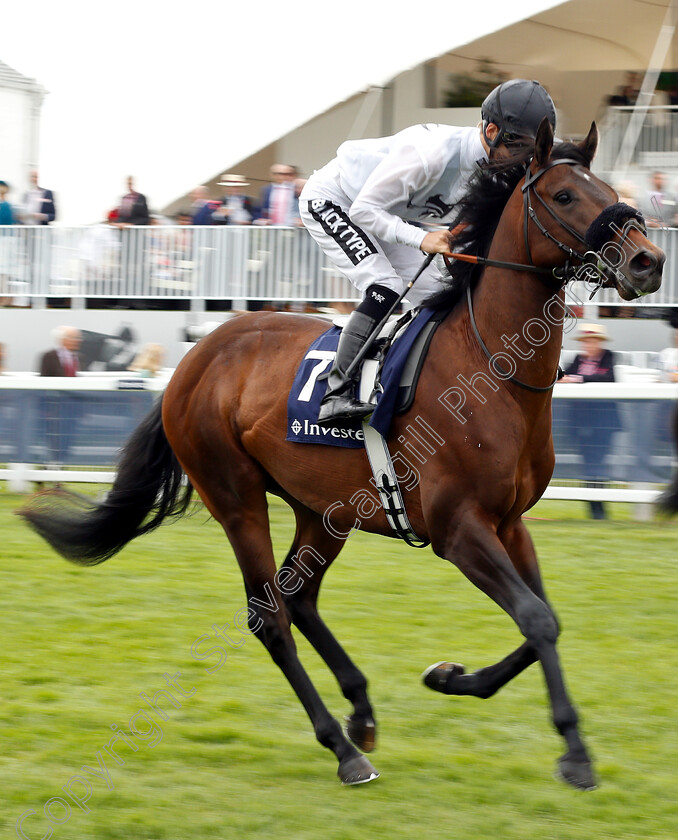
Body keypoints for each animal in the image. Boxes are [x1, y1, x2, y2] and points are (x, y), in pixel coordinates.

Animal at [19, 121, 664, 792]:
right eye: (564, 196)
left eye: (609, 189)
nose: (648, 260)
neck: (493, 370)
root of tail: (193, 360)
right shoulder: (459, 529)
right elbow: (535, 619)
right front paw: (575, 753)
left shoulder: (510, 524)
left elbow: (545, 619)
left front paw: (455, 679)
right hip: (236, 497)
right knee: (269, 615)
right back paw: (342, 747)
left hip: (323, 509)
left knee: (298, 598)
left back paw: (360, 709)